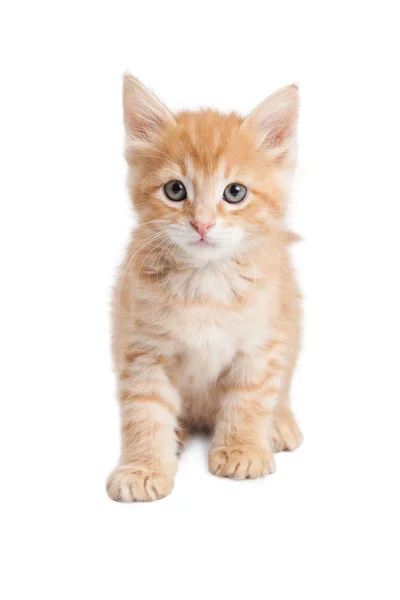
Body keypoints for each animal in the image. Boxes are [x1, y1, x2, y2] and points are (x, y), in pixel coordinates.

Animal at [106, 77, 304, 504]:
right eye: (175, 189)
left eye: (235, 192)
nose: (202, 224)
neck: (206, 281)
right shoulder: (142, 349)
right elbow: (144, 411)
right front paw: (143, 467)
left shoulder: (261, 343)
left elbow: (250, 398)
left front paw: (243, 449)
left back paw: (279, 423)